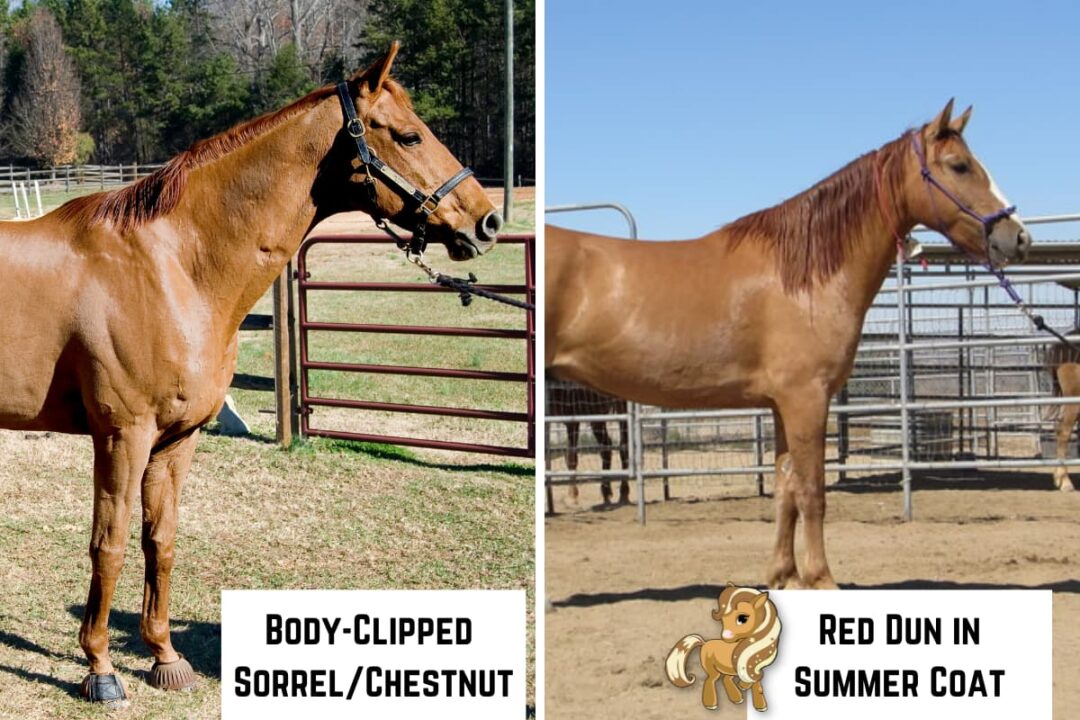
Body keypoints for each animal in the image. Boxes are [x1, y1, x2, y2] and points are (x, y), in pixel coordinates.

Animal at [0, 42, 501, 707]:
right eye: (410, 135)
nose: (487, 222)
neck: (171, 266)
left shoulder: (175, 441)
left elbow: (160, 541)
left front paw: (164, 656)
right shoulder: (121, 436)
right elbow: (109, 545)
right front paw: (101, 669)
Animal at [546, 100, 1031, 589]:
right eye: (959, 165)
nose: (1018, 237)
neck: (803, 276)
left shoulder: (782, 405)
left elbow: (786, 489)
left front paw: (781, 575)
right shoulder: (806, 399)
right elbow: (813, 489)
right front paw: (821, 578)